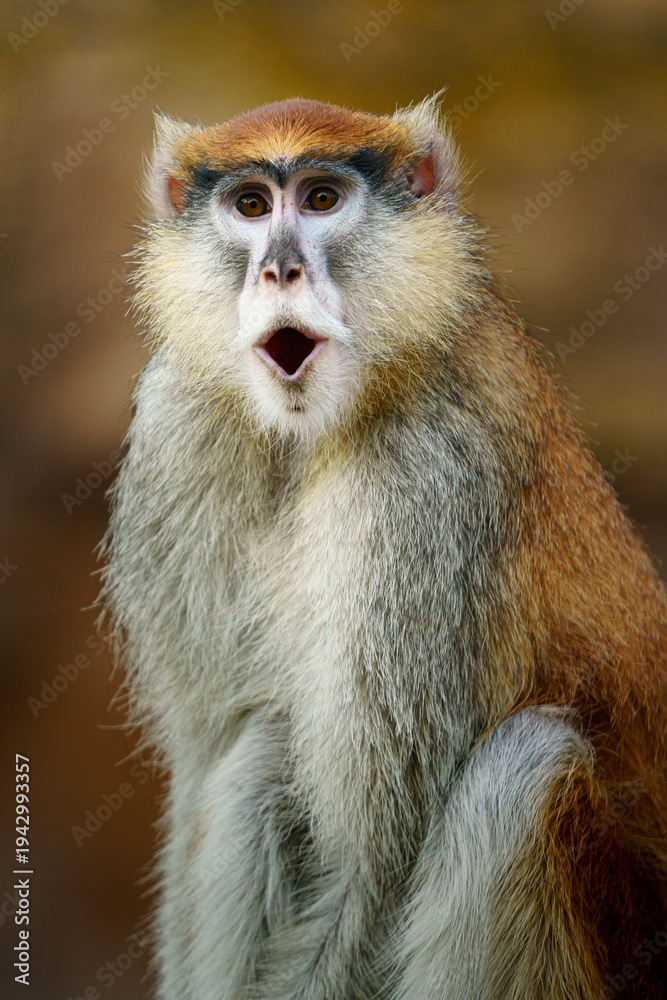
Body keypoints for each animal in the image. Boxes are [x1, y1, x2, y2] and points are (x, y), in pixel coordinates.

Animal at [100, 96, 667, 999]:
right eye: (250, 205)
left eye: (322, 199)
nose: (280, 270)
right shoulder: (178, 423)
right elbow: (204, 760)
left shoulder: (434, 469)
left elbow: (378, 863)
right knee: (264, 748)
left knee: (519, 771)